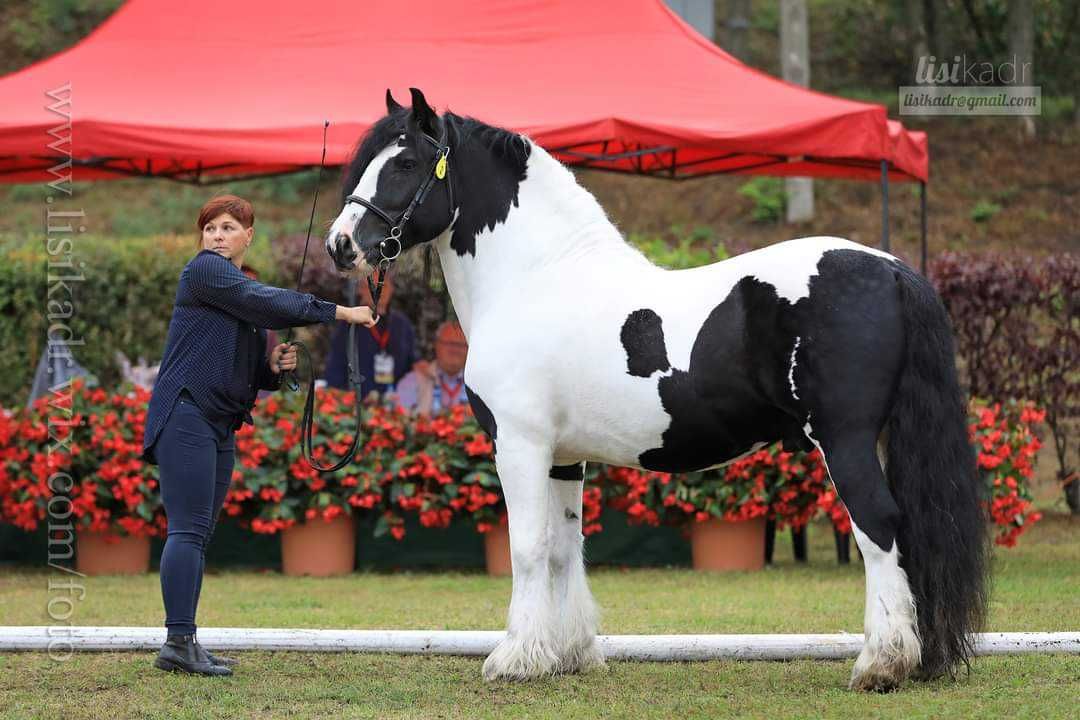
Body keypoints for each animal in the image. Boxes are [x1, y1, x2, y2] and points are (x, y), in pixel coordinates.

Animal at [326, 90, 989, 690]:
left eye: (405, 163)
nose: (340, 246)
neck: (535, 278)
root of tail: (892, 269)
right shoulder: (564, 458)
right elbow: (565, 548)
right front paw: (567, 655)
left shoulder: (520, 445)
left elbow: (527, 548)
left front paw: (514, 659)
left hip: (845, 439)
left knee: (879, 527)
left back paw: (880, 665)